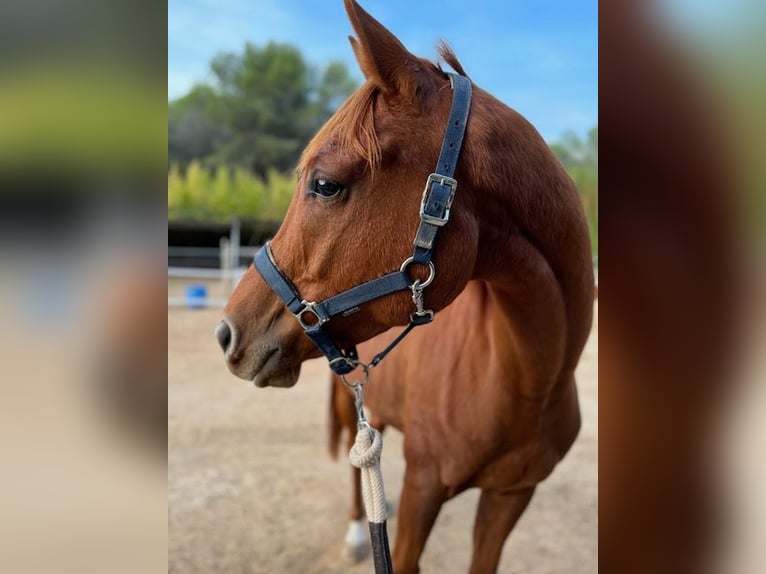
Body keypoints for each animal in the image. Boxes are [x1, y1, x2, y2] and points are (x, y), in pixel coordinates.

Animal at [219, 2, 596, 572]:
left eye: (325, 184)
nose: (227, 332)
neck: (525, 379)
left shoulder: (511, 497)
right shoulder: (425, 487)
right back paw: (359, 530)